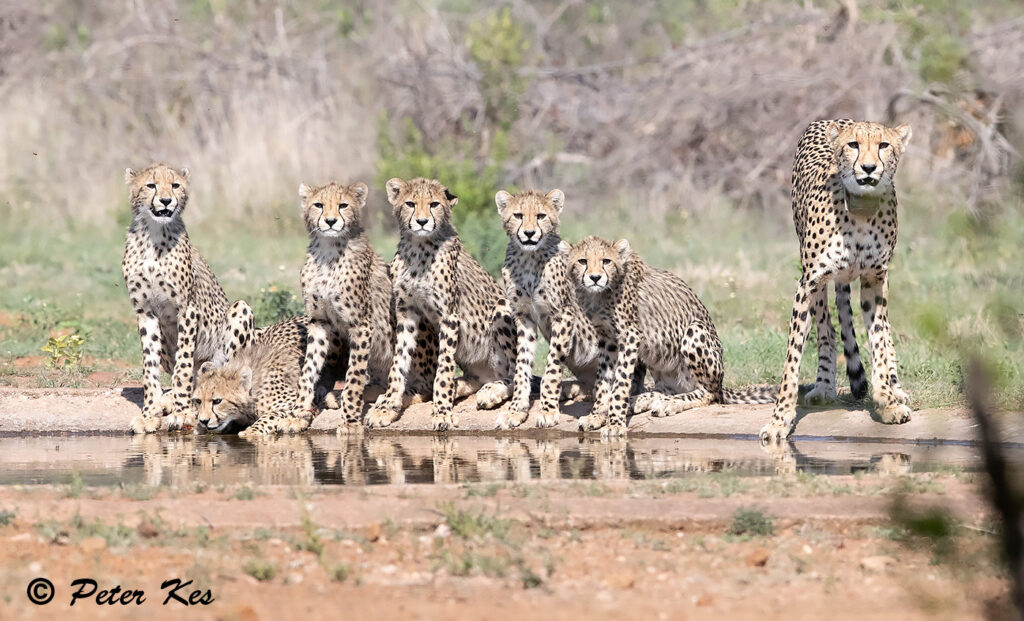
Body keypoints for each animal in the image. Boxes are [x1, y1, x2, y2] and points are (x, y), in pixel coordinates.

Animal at [122, 164, 256, 434]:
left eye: (175, 185)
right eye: (151, 185)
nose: (166, 200)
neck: (153, 234)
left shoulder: (187, 309)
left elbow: (183, 365)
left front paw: (182, 412)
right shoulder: (145, 312)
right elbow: (149, 367)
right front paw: (149, 413)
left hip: (241, 310)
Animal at [293, 181, 437, 434]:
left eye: (343, 205)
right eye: (318, 205)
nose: (330, 221)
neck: (327, 251)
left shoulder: (361, 325)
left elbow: (354, 375)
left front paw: (350, 422)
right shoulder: (319, 322)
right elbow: (309, 369)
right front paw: (298, 413)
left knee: (421, 387)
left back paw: (387, 404)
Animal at [365, 177, 516, 432]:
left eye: (434, 204)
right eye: (410, 203)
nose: (422, 221)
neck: (419, 247)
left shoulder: (449, 317)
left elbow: (443, 369)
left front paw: (442, 412)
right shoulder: (406, 313)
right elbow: (398, 363)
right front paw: (386, 407)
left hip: (502, 308)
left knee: (519, 376)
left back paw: (491, 393)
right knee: (478, 379)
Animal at [564, 236, 776, 437]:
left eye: (606, 261)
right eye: (582, 261)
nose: (595, 278)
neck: (601, 293)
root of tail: (722, 383)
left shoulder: (630, 335)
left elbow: (621, 382)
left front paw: (615, 423)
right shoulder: (607, 340)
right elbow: (604, 381)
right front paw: (597, 415)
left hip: (694, 331)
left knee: (710, 394)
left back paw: (669, 404)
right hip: (656, 353)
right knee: (665, 390)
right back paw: (641, 400)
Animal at [760, 119, 913, 444]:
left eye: (884, 145)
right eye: (853, 145)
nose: (868, 168)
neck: (860, 212)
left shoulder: (875, 280)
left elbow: (879, 342)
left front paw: (887, 401)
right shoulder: (808, 284)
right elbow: (792, 358)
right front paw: (779, 421)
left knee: (884, 333)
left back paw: (895, 387)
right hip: (816, 282)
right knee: (827, 331)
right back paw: (824, 386)